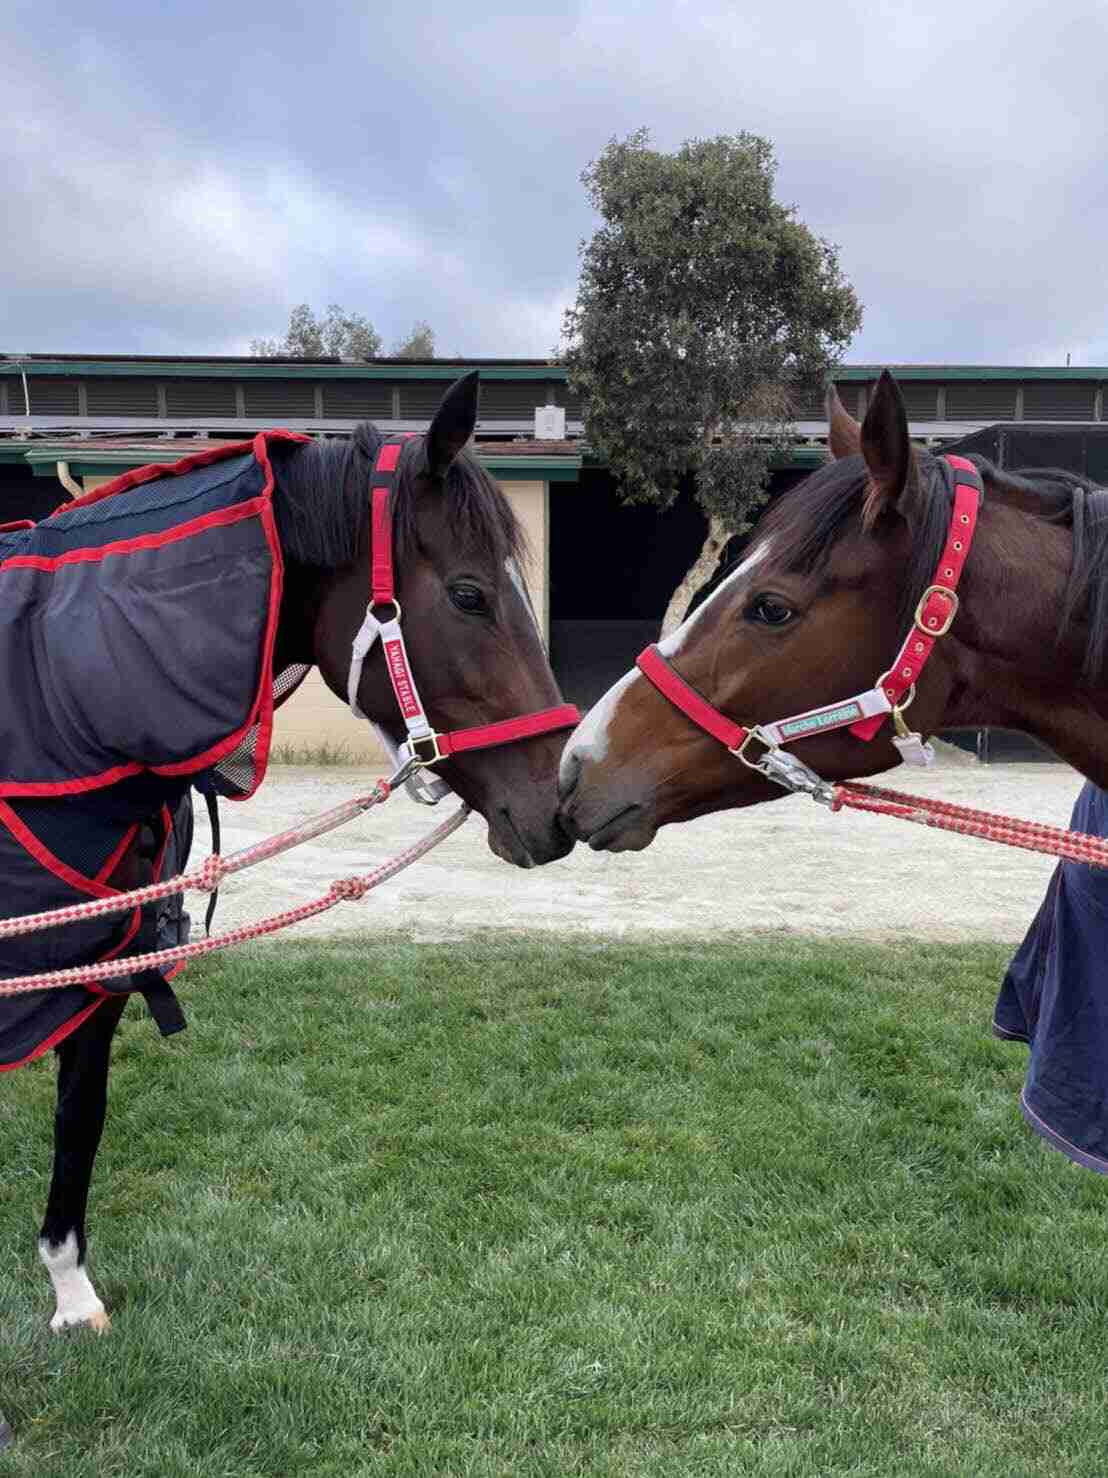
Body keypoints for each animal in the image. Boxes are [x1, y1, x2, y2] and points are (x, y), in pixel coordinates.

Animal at [2, 370, 577, 1345]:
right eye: (469, 595)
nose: (558, 806)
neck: (51, 698)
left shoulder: (96, 962)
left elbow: (79, 1116)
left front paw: (72, 1294)